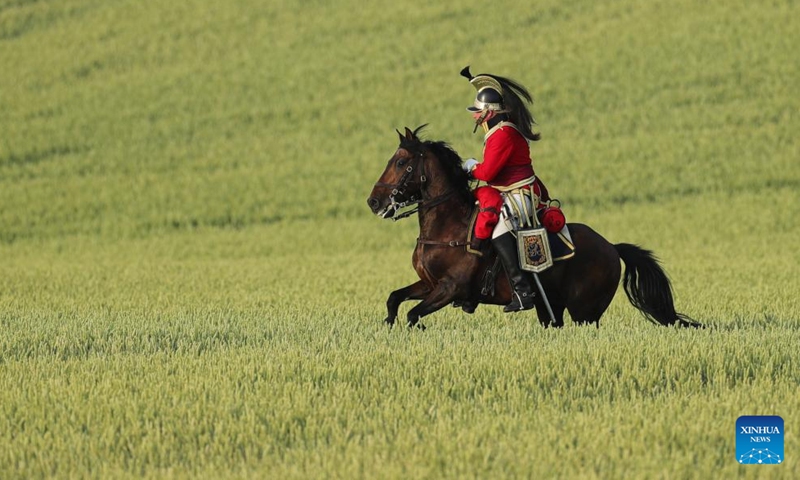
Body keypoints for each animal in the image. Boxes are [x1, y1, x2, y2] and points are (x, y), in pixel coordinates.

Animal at [366, 125, 696, 330]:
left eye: (400, 162)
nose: (373, 201)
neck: (447, 228)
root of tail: (611, 247)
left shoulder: (450, 288)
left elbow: (413, 314)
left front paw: (416, 327)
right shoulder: (429, 284)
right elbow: (394, 299)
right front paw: (388, 325)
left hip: (585, 312)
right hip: (551, 308)